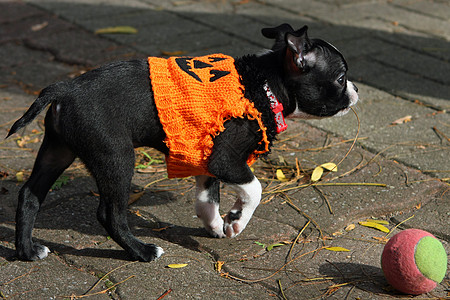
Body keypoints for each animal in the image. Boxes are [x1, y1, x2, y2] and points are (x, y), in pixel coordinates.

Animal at [6, 23, 358, 262]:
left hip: (57, 150)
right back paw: (142, 251)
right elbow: (254, 188)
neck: (263, 83)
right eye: (341, 78)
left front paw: (216, 224)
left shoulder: (205, 156)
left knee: (29, 195)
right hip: (116, 158)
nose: (356, 90)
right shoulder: (225, 159)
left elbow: (206, 197)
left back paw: (27, 250)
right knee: (109, 214)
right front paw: (238, 220)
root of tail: (65, 88)